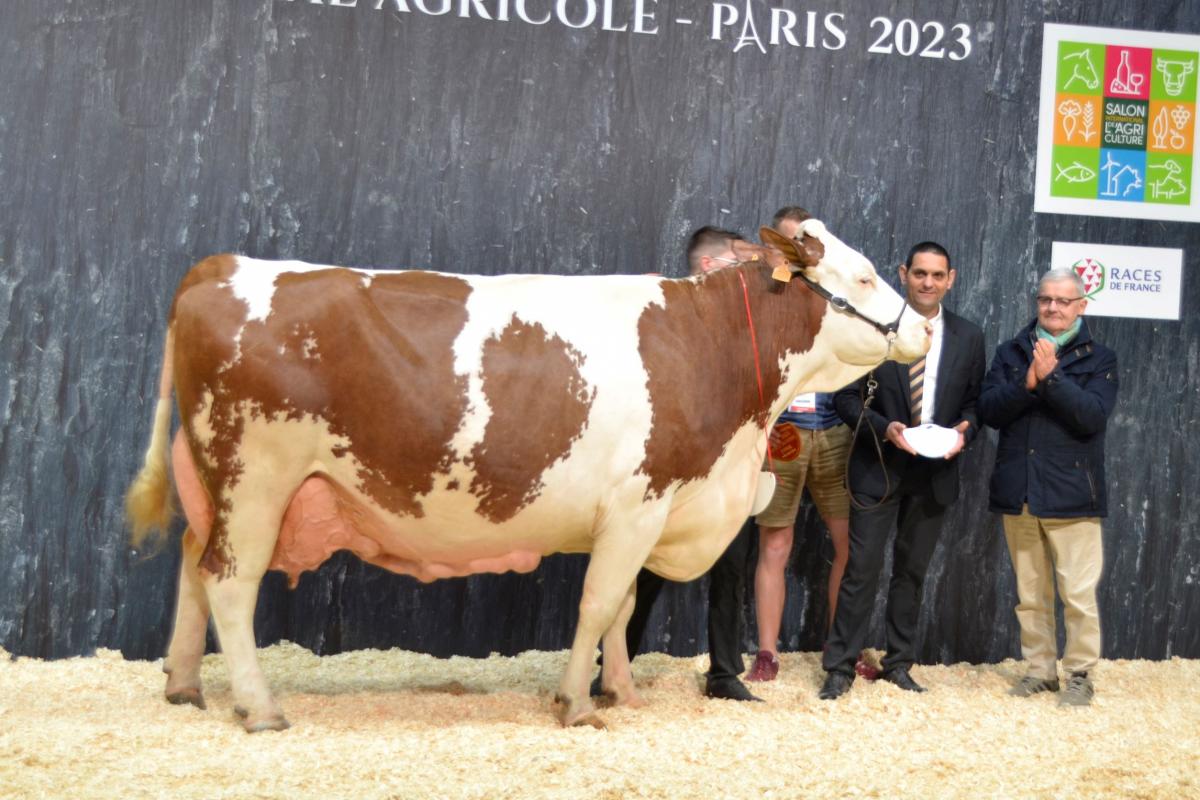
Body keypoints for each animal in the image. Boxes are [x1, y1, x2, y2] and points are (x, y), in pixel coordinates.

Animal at [129, 219, 926, 734]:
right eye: (862, 275)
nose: (921, 326)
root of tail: (218, 267)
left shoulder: (640, 514)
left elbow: (622, 608)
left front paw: (621, 692)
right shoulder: (638, 504)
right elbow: (599, 604)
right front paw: (575, 704)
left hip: (215, 486)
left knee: (193, 567)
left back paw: (184, 685)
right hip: (257, 478)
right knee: (229, 580)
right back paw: (259, 708)